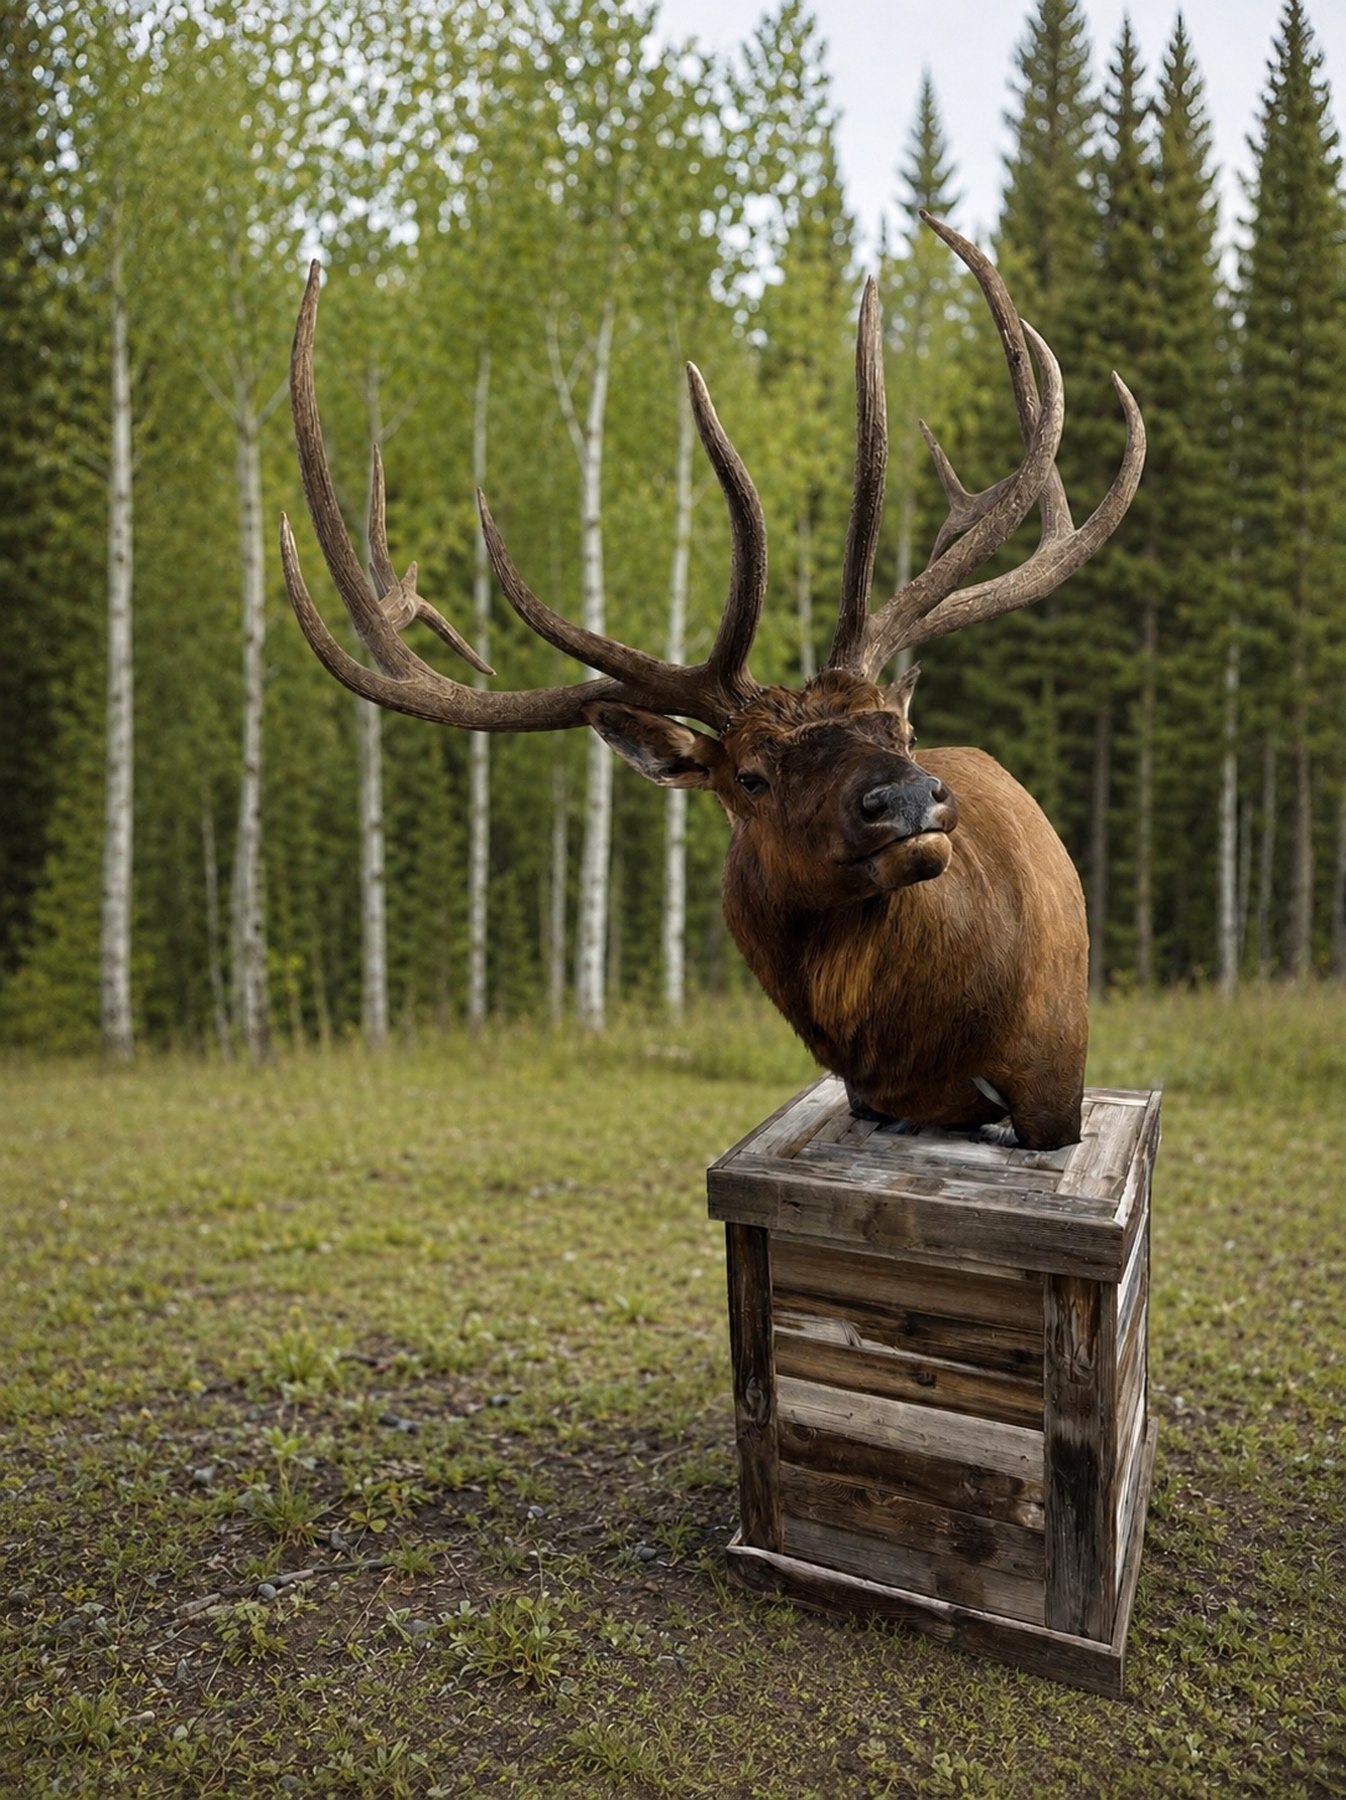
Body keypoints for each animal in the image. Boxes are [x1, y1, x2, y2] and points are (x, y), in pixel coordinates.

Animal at [279, 215, 1144, 1152]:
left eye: (901, 730)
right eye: (751, 776)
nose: (909, 799)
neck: (924, 1044)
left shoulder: (1055, 1085)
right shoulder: (865, 1093)